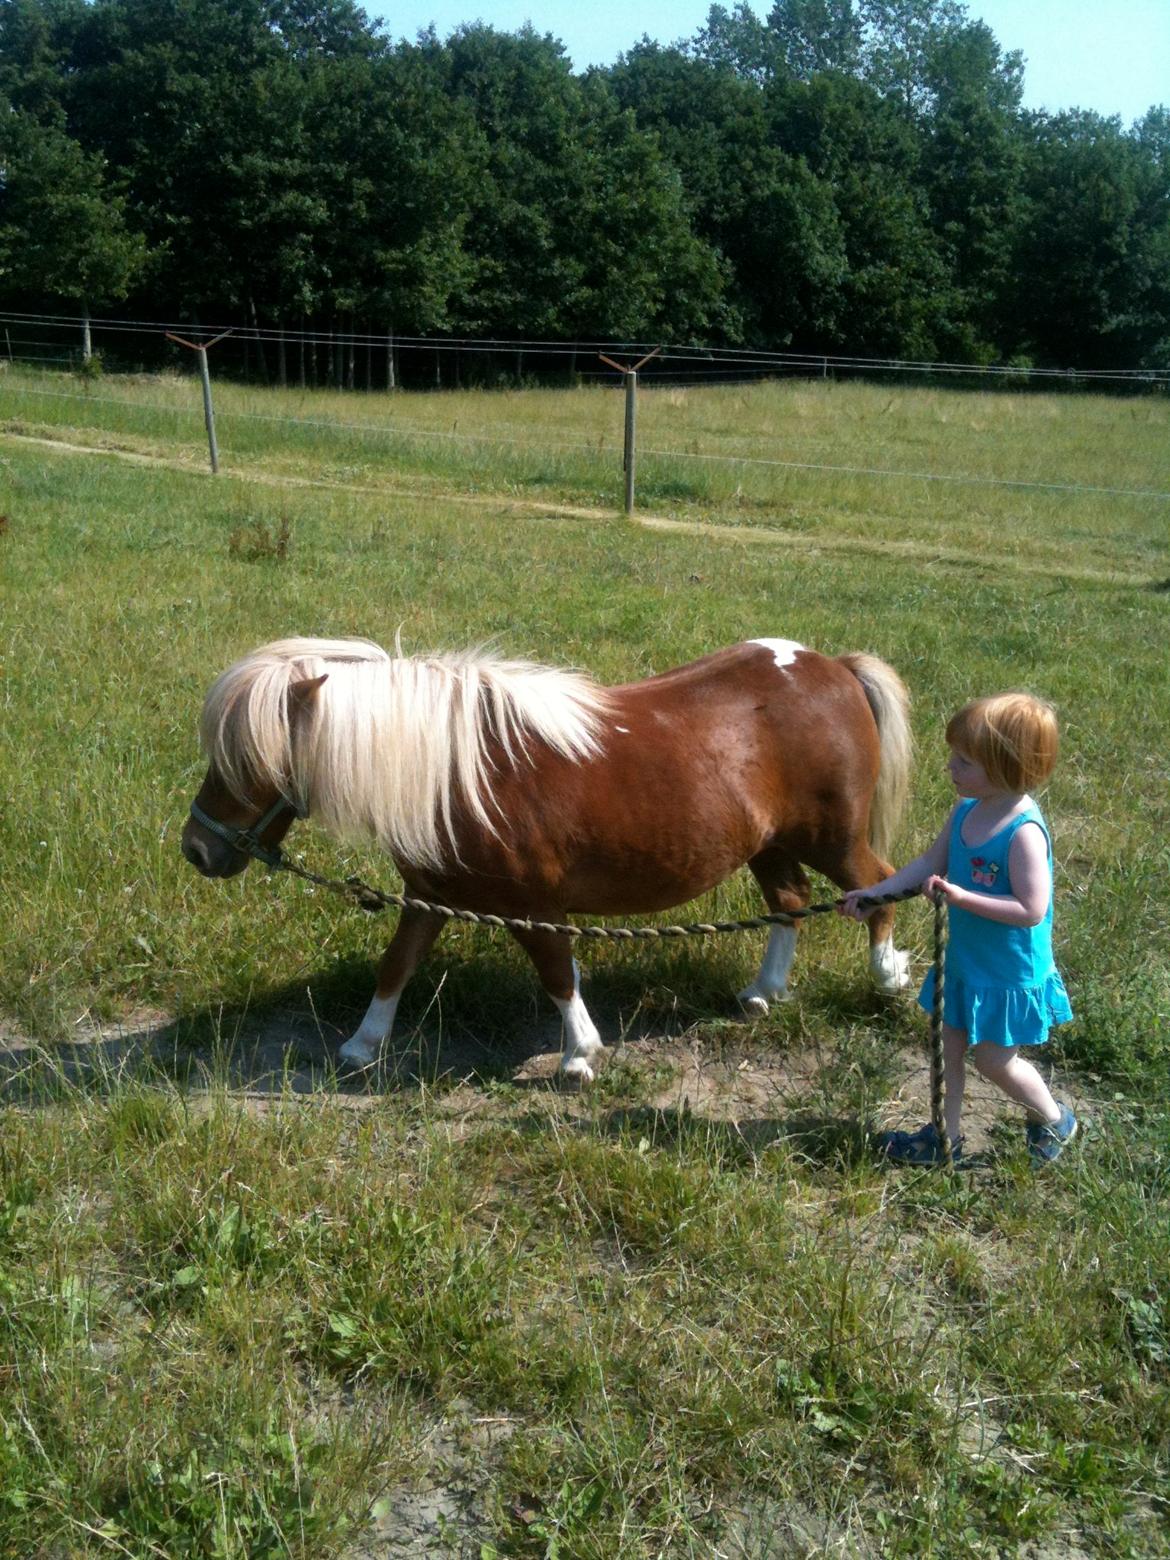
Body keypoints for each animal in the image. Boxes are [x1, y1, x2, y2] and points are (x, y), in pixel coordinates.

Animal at [183, 633, 917, 1085]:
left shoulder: (534, 906)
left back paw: (886, 979)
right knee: (789, 902)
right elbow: (396, 967)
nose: (196, 849)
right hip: (769, 844)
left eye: (247, 761)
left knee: (875, 885)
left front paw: (578, 1056)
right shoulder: (430, 896)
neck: (455, 773)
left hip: (830, 838)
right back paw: (765, 992)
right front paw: (363, 1046)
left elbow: (558, 975)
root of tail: (832, 667)